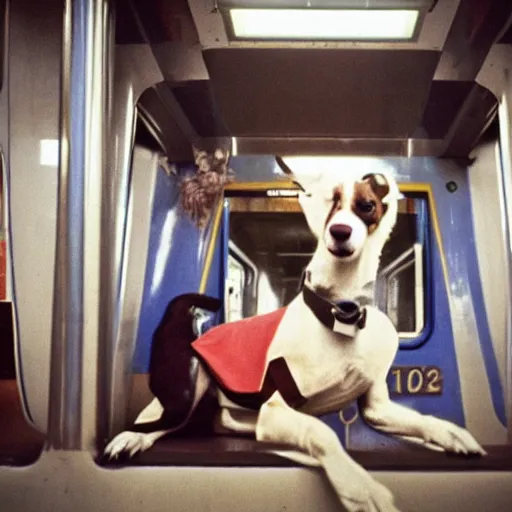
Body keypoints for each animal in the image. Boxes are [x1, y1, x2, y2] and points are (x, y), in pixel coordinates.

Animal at [107, 156, 484, 512]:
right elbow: (321, 432)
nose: (340, 231)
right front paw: (360, 488)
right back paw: (129, 439)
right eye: (325, 201)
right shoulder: (278, 408)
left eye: (366, 205)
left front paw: (453, 435)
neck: (339, 313)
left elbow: (421, 420)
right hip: (184, 391)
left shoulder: (378, 408)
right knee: (154, 422)